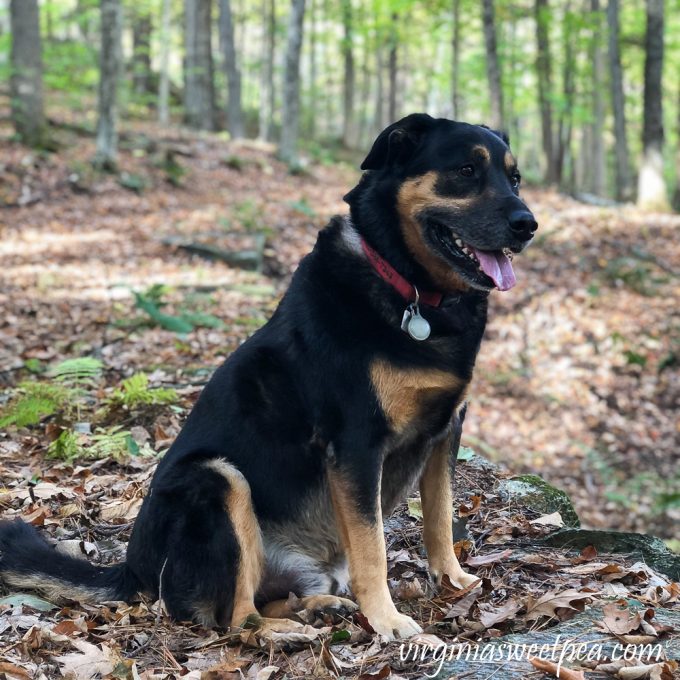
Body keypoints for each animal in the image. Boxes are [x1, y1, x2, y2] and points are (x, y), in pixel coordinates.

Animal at [0, 114, 536, 640]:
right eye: (466, 171)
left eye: (514, 178)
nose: (528, 225)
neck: (413, 292)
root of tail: (133, 572)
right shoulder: (357, 443)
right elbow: (373, 548)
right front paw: (386, 619)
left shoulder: (446, 431)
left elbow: (440, 519)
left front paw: (454, 581)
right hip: (215, 478)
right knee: (233, 619)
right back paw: (286, 631)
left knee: (267, 598)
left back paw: (318, 607)